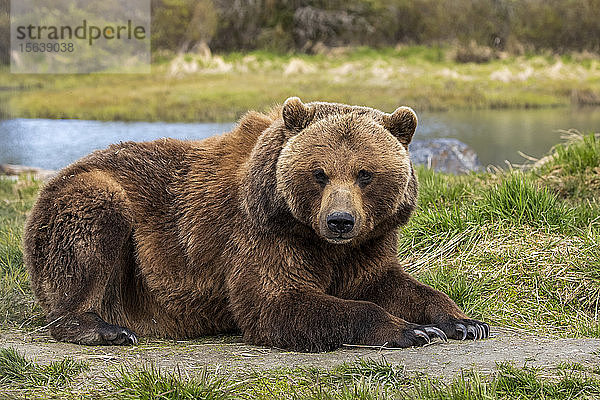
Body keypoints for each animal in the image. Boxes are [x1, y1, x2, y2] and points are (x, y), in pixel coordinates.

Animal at [24, 98, 488, 352]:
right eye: (319, 173)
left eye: (365, 174)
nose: (340, 221)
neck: (313, 235)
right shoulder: (262, 233)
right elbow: (277, 302)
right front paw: (411, 330)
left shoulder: (367, 243)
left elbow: (387, 282)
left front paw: (462, 321)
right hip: (90, 206)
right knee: (90, 229)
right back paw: (104, 328)